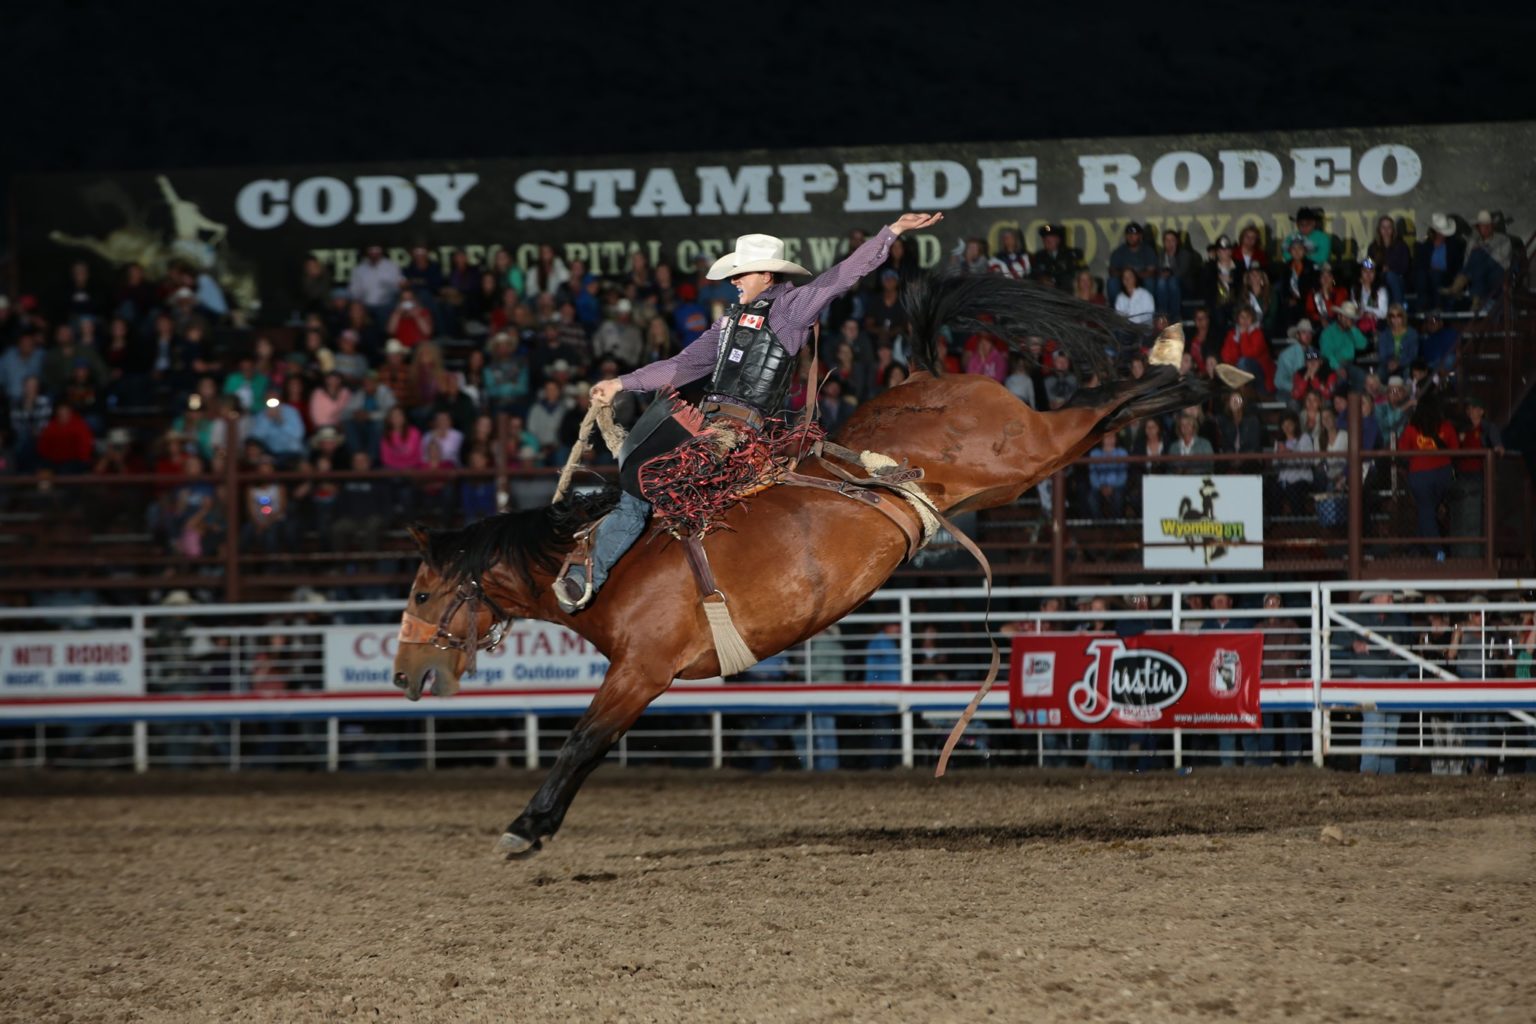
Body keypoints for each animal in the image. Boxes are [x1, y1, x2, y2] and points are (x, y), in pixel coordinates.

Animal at [390, 274, 1228, 859]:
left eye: (425, 591)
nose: (402, 674)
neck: (602, 562)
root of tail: (932, 376)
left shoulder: (641, 671)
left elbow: (581, 744)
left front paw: (526, 826)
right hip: (1021, 472)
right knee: (1102, 411)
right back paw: (1189, 369)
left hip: (1025, 451)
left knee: (1098, 404)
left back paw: (1192, 367)